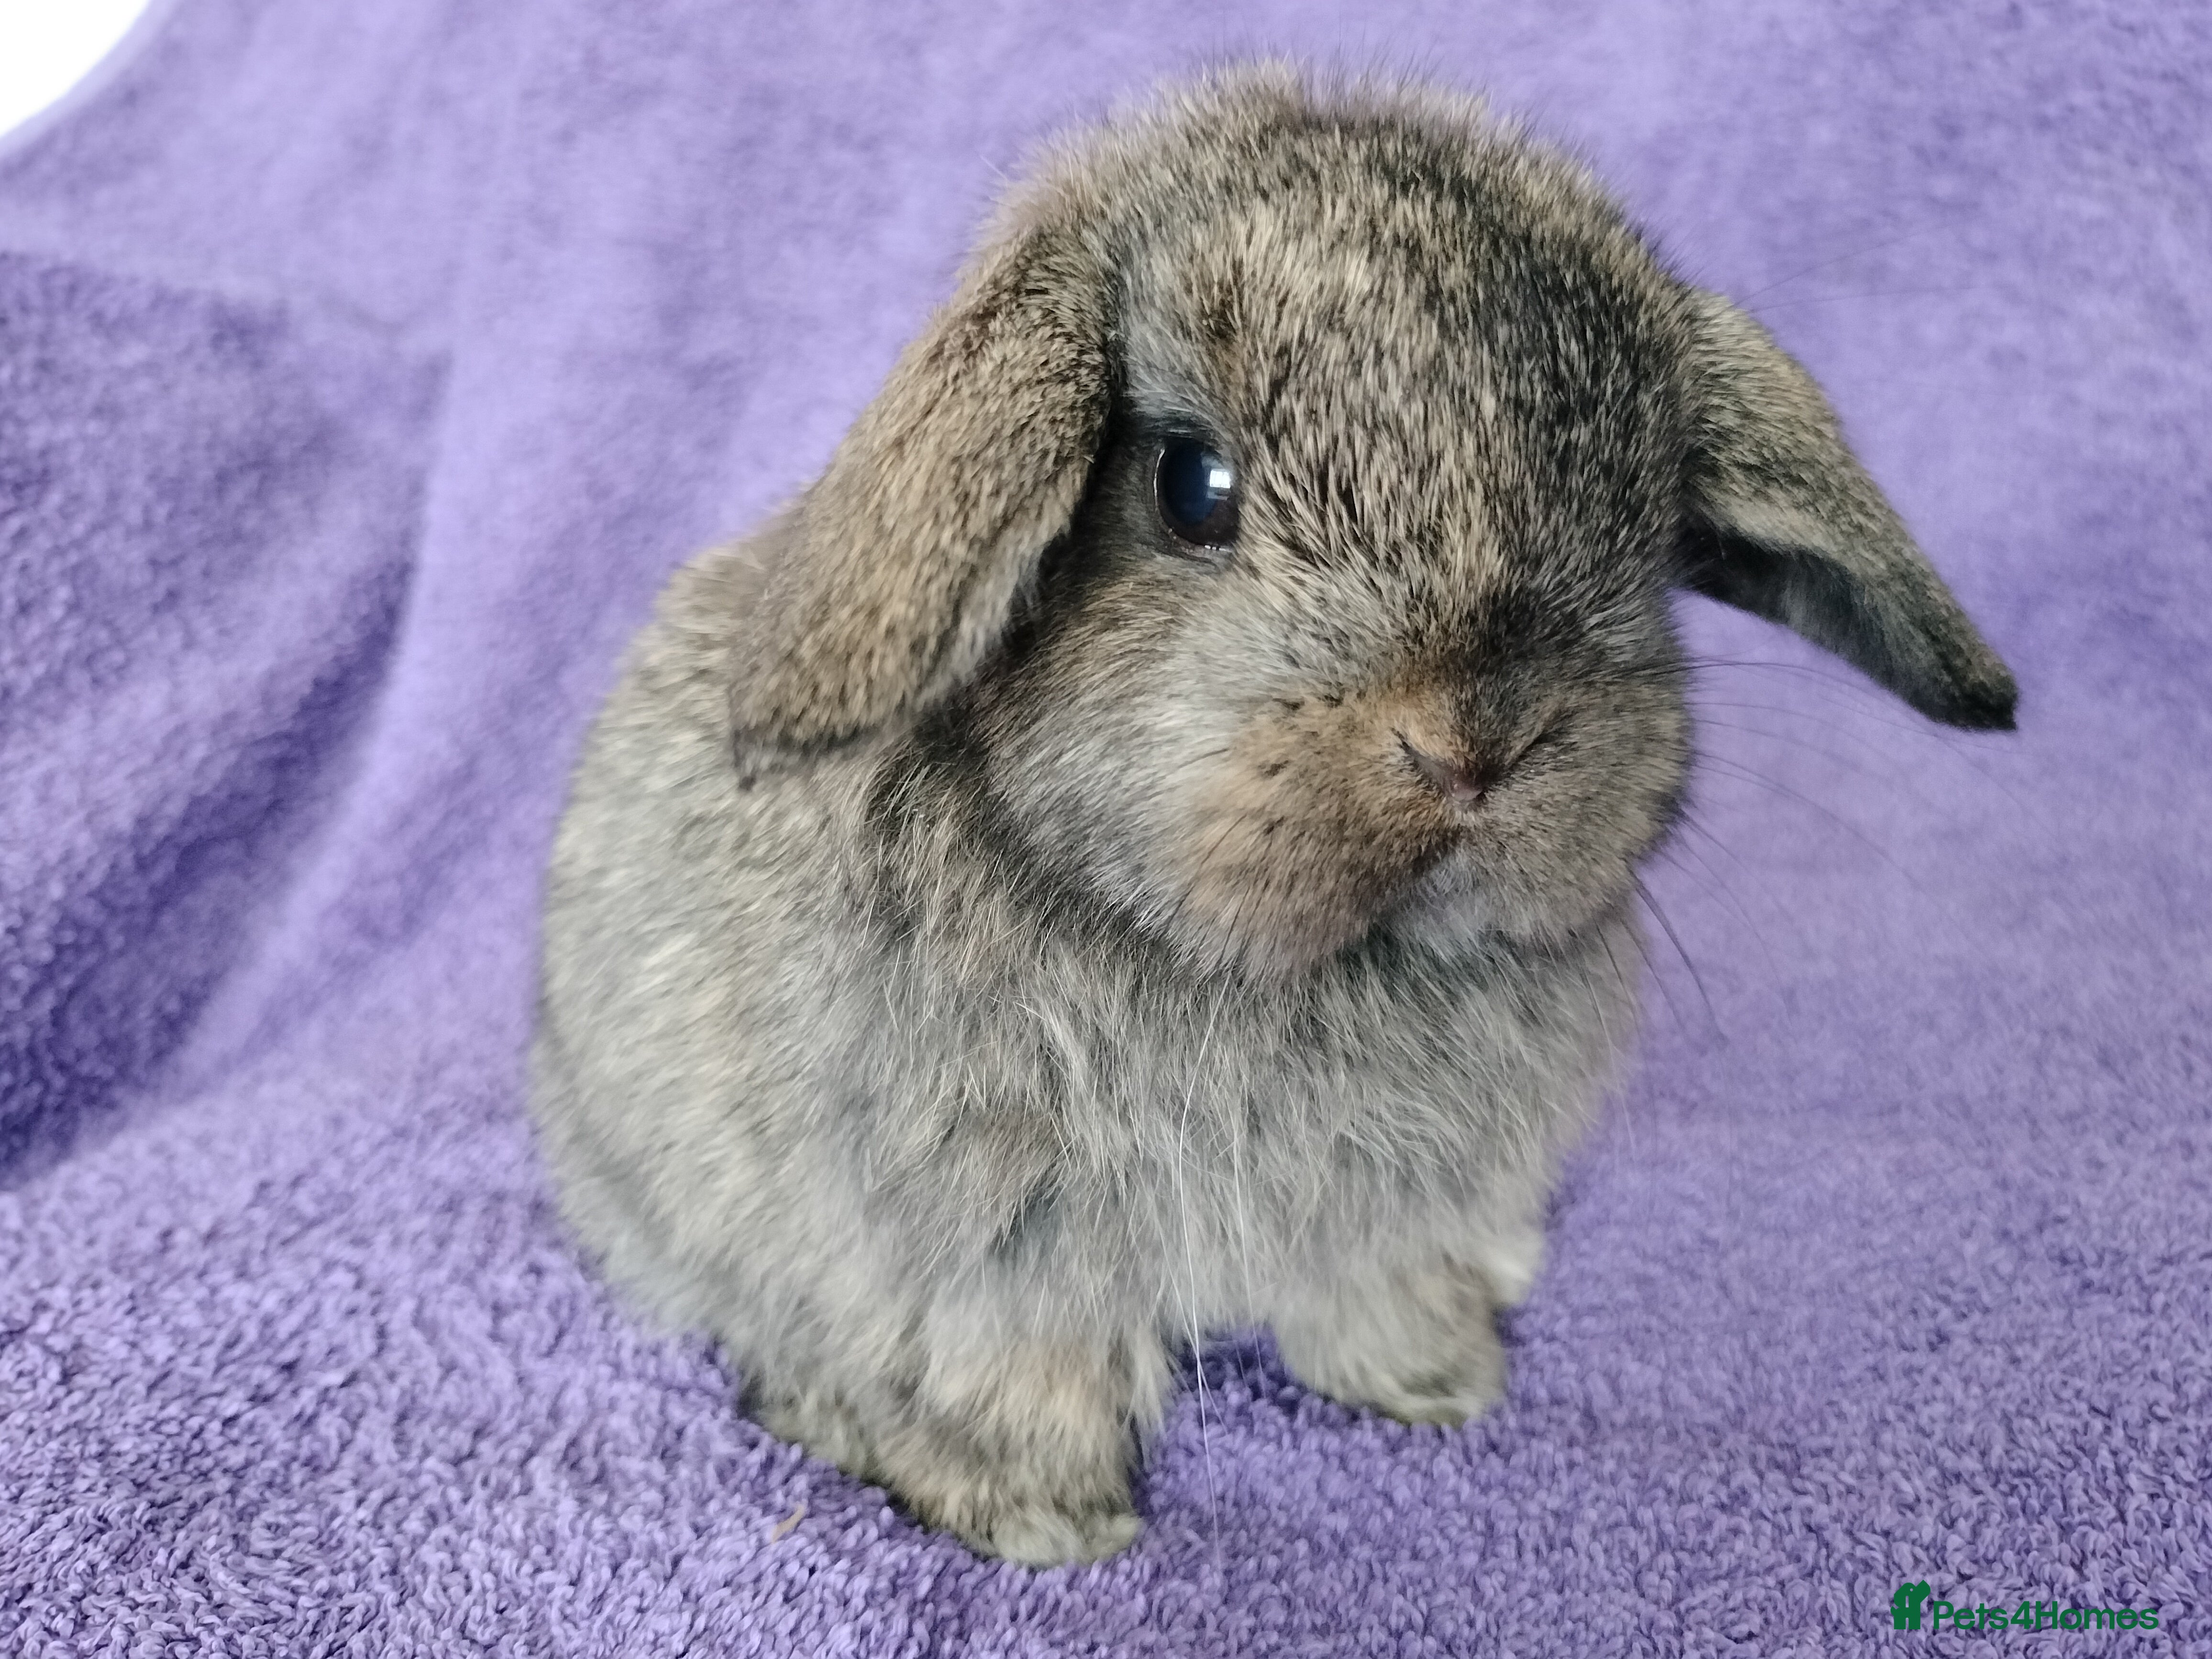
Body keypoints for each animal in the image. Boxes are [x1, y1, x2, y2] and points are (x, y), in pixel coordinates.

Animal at [529, 64, 2016, 1566]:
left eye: (1643, 525)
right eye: (1191, 485)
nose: (1474, 741)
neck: (1278, 964)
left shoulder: (1391, 1210)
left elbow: (1373, 1289)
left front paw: (1437, 1379)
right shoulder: (983, 1245)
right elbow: (1010, 1363)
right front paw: (1044, 1517)